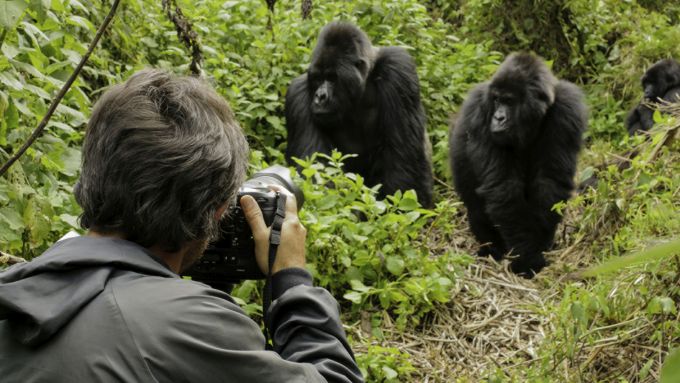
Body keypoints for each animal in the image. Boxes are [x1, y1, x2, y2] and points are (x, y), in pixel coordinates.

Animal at [284, 21, 432, 207]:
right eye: (318, 78)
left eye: (332, 78)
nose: (320, 97)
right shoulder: (297, 94)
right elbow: (315, 170)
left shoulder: (398, 69)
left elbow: (403, 161)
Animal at [448, 52, 588, 278]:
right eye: (496, 100)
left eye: (509, 101)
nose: (498, 117)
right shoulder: (480, 109)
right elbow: (503, 187)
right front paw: (527, 258)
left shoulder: (567, 109)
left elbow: (549, 180)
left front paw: (540, 245)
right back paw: (491, 248)